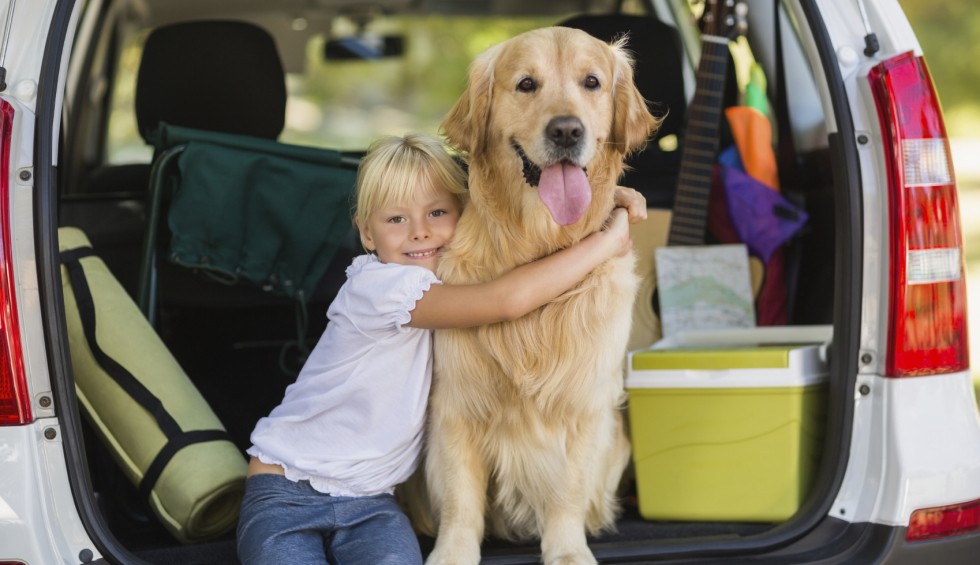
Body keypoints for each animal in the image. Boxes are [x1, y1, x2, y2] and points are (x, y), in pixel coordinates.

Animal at [410, 26, 664, 564]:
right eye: (526, 84)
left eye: (592, 82)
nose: (567, 131)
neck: (538, 246)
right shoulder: (456, 405)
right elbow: (461, 498)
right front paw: (453, 553)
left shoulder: (583, 406)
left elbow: (566, 492)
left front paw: (567, 550)